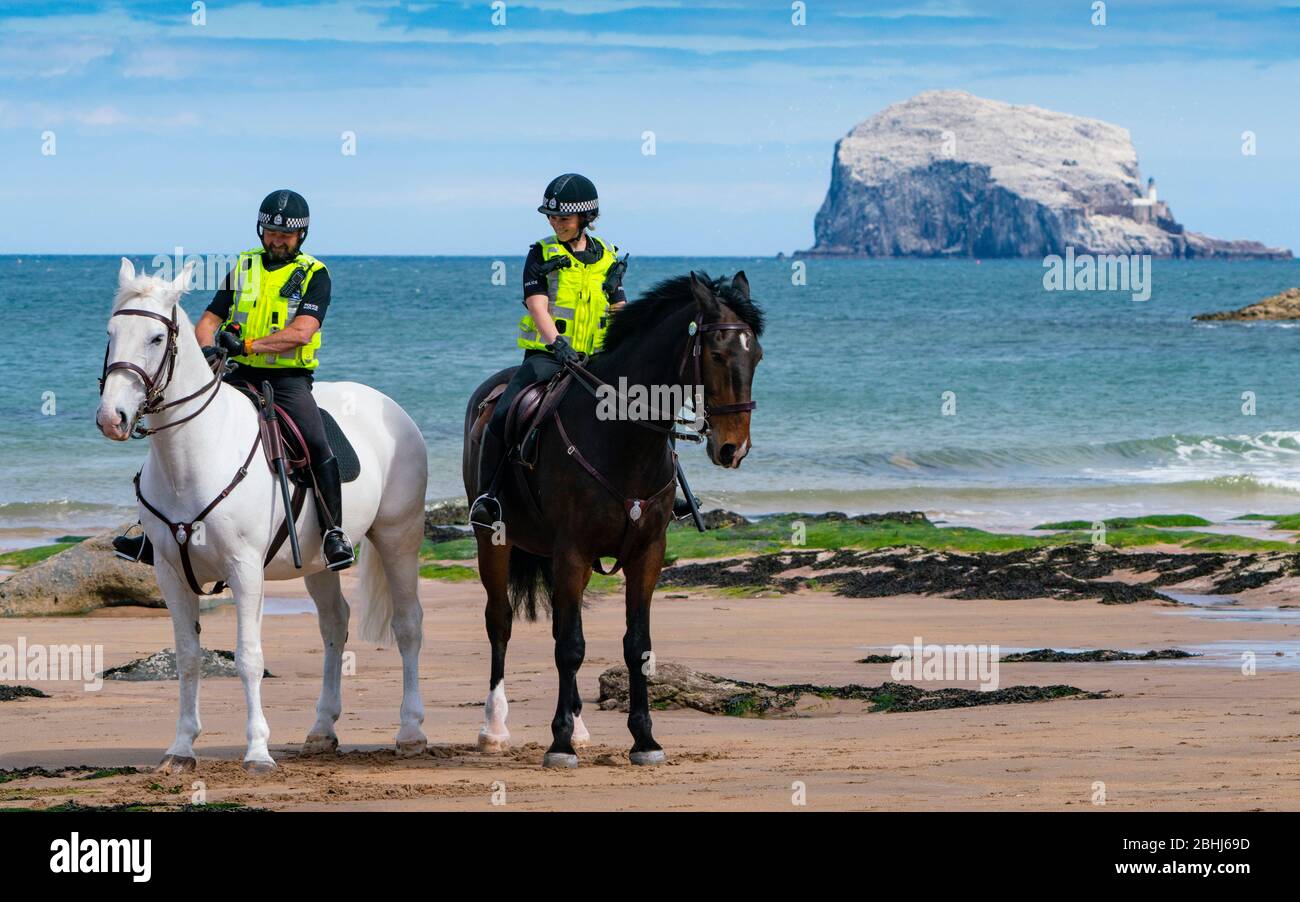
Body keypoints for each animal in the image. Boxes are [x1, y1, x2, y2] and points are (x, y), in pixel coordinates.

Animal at [98, 259, 431, 779]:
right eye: (111, 333)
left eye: (155, 338)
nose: (111, 418)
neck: (194, 453)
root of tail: (389, 406)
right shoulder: (170, 573)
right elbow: (187, 657)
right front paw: (181, 748)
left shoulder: (245, 570)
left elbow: (249, 658)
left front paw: (257, 751)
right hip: (317, 561)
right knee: (335, 625)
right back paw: (322, 729)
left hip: (399, 537)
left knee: (408, 624)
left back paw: (411, 731)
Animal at [462, 271, 759, 764]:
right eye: (716, 354)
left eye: (756, 355)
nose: (733, 449)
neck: (621, 437)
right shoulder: (572, 550)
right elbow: (571, 647)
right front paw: (559, 743)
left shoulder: (647, 552)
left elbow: (636, 646)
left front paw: (644, 739)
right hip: (494, 539)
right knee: (500, 622)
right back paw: (494, 729)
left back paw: (580, 726)